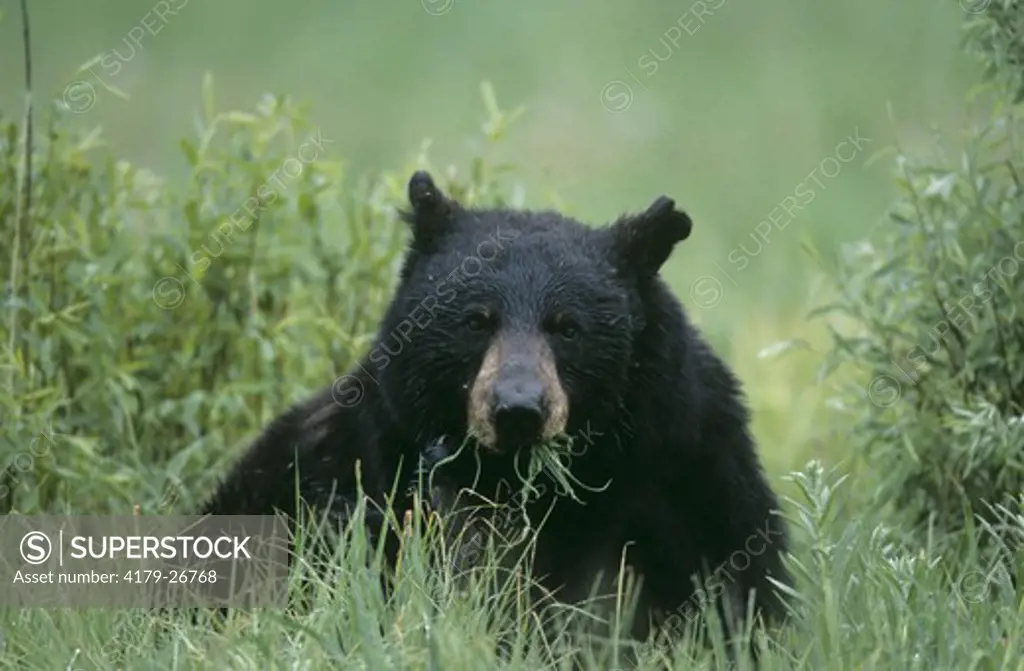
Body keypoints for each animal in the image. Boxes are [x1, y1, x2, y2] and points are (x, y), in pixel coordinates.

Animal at [199, 168, 790, 651]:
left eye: (568, 327)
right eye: (476, 321)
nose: (518, 409)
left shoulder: (688, 465)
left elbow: (735, 581)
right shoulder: (360, 463)